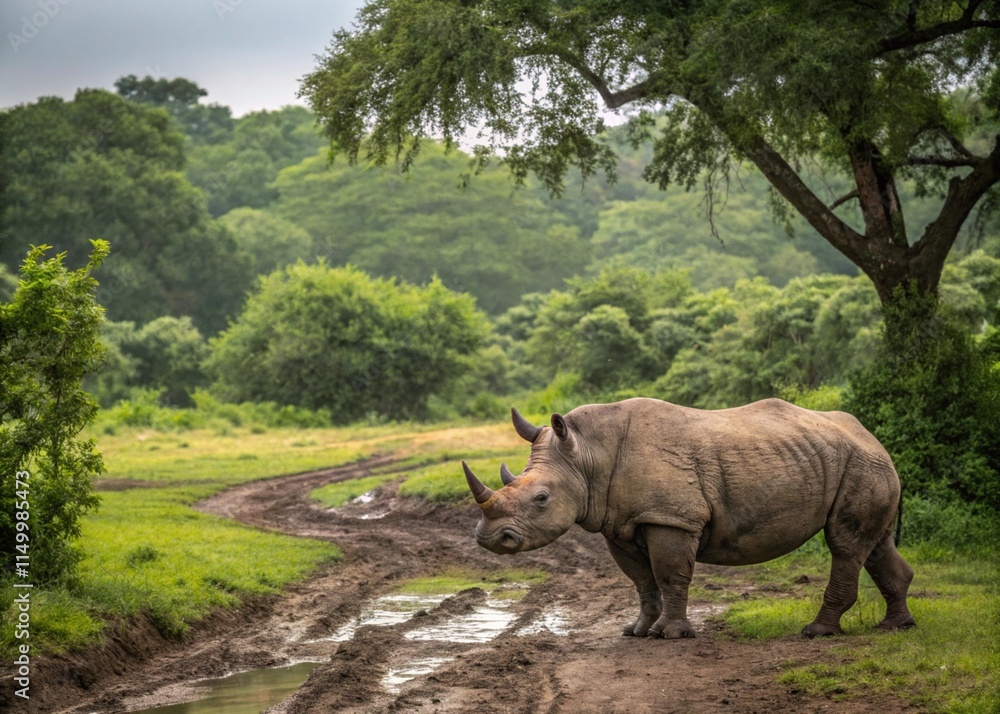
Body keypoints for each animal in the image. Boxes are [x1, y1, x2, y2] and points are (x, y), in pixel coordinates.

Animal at [463, 398, 916, 639]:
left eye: (541, 498)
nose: (488, 538)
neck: (589, 455)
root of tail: (873, 437)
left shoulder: (671, 518)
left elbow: (669, 574)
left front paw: (670, 634)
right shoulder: (622, 523)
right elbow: (642, 581)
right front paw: (637, 631)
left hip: (861, 464)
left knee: (845, 544)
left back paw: (816, 633)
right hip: (862, 463)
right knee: (875, 546)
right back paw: (896, 628)